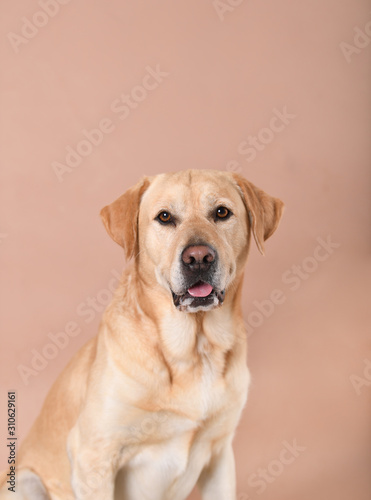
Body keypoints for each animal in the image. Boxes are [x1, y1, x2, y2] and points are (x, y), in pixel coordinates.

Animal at [0, 170, 284, 498]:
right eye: (165, 217)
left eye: (222, 212)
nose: (198, 258)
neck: (193, 350)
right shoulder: (93, 456)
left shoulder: (220, 456)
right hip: (25, 480)